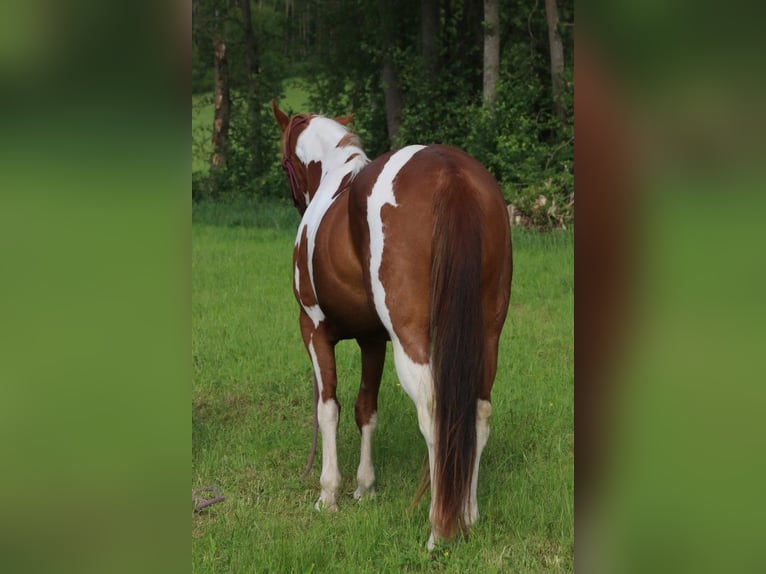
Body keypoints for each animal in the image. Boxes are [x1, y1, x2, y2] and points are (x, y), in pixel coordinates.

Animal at [271, 101, 512, 548]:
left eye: (283, 164)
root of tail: (451, 172)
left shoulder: (313, 328)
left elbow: (328, 408)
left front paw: (328, 494)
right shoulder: (372, 340)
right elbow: (366, 409)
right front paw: (364, 487)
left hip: (409, 337)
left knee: (433, 412)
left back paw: (439, 530)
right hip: (488, 334)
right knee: (478, 410)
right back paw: (468, 516)